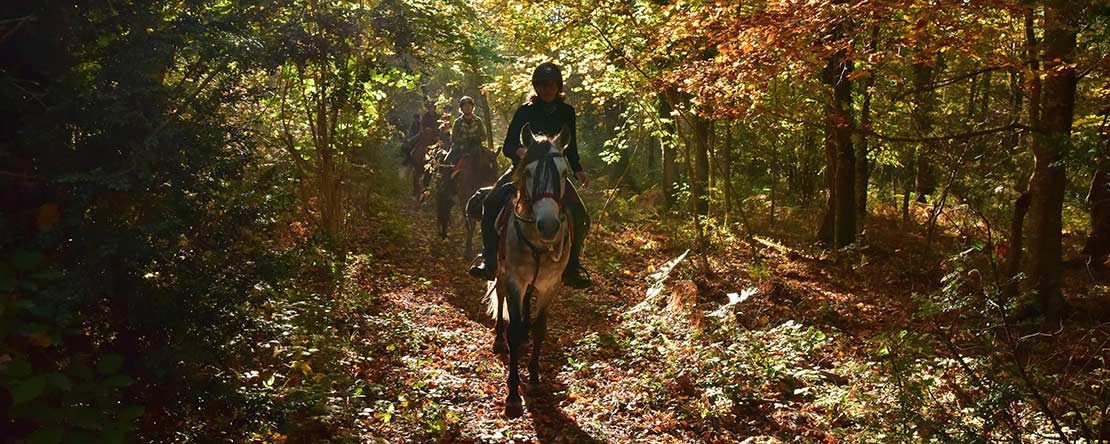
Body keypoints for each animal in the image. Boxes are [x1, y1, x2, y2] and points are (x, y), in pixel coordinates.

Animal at [484, 124, 573, 419]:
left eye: (564, 173)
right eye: (529, 172)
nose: (549, 226)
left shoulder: (549, 284)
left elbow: (539, 328)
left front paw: (533, 378)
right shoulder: (515, 280)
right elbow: (515, 328)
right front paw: (513, 395)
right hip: (500, 272)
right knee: (501, 299)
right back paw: (499, 340)